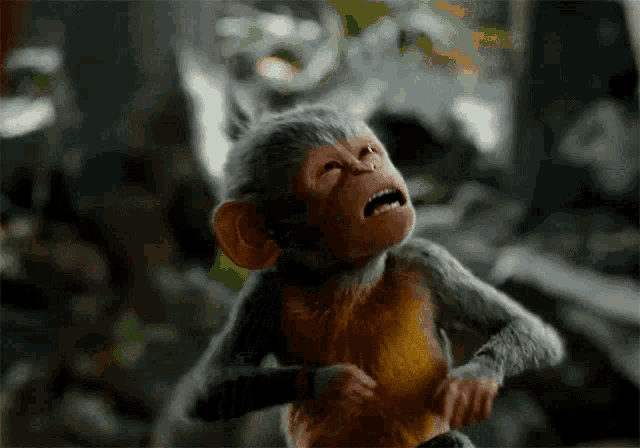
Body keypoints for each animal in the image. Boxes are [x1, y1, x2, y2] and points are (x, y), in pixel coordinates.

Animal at [153, 104, 565, 448]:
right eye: (330, 169)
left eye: (367, 153)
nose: (368, 169)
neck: (350, 276)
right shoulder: (264, 289)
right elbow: (206, 390)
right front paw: (331, 382)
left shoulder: (428, 260)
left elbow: (524, 326)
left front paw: (474, 380)